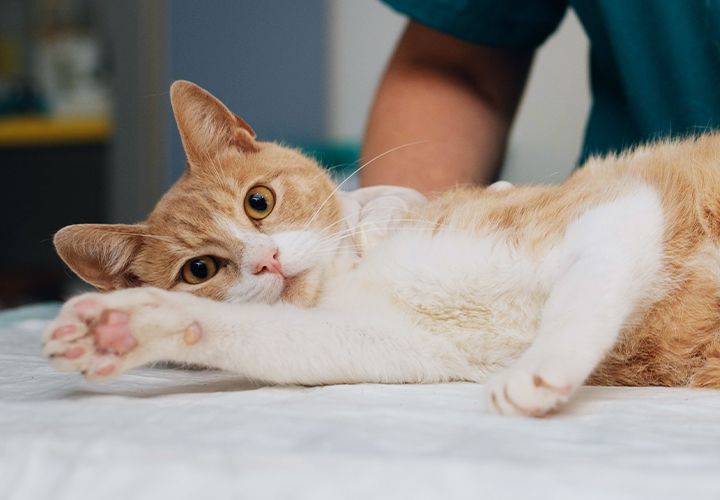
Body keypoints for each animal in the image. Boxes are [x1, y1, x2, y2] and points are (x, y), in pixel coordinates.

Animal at [42, 81, 720, 418]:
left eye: (258, 202)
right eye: (200, 269)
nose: (267, 261)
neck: (358, 270)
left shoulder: (617, 210)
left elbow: (576, 302)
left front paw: (536, 370)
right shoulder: (396, 344)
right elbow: (255, 335)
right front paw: (125, 327)